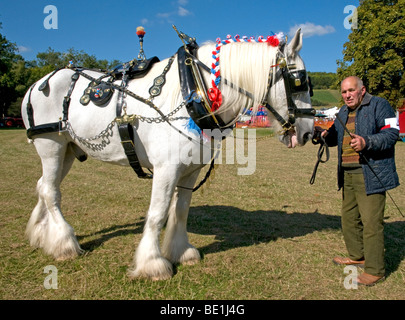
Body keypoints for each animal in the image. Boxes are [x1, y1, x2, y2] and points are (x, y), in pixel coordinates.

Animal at [21, 29, 312, 280]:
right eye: (299, 81)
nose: (309, 133)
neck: (190, 93)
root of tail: (37, 83)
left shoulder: (190, 169)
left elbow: (180, 211)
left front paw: (181, 252)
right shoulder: (166, 169)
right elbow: (158, 213)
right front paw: (153, 263)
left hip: (68, 150)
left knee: (44, 186)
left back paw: (41, 234)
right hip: (51, 145)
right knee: (50, 191)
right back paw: (64, 243)